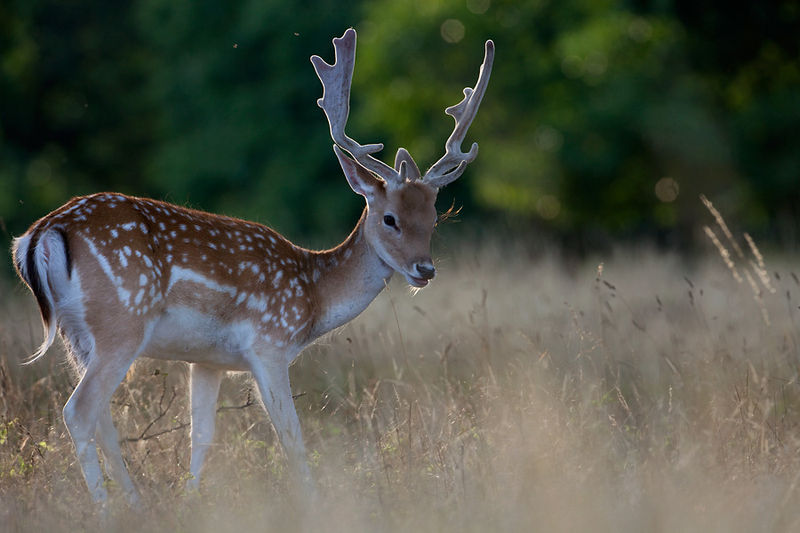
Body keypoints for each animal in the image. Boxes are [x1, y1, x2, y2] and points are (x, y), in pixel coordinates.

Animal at [10, 28, 494, 502]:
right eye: (390, 218)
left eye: (435, 217)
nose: (425, 270)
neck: (312, 293)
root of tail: (40, 234)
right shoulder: (269, 343)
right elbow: (291, 436)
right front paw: (313, 504)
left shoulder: (207, 360)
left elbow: (202, 436)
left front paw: (191, 501)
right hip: (121, 321)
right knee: (79, 411)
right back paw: (107, 508)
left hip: (78, 336)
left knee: (103, 418)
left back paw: (134, 501)